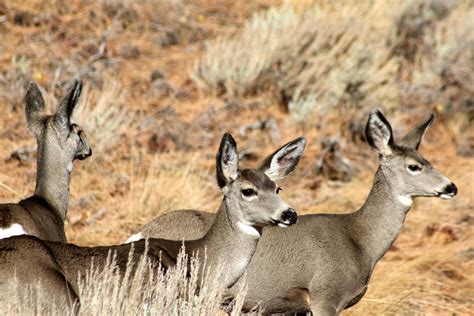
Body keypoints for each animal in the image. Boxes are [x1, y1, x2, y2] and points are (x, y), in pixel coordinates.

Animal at [126, 110, 456, 314]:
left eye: (427, 160)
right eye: (414, 166)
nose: (451, 186)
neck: (359, 240)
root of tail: (140, 232)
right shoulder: (325, 295)